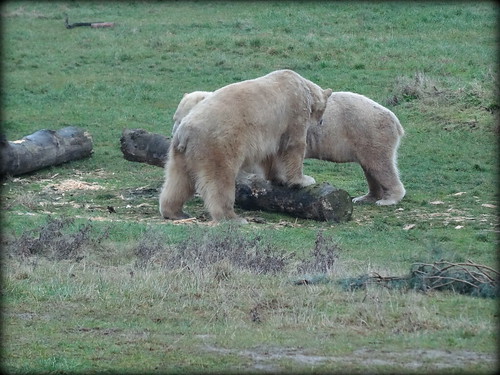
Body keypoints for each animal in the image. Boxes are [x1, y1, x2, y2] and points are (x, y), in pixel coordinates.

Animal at [160, 70, 332, 223]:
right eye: (324, 110)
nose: (322, 122)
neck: (302, 86)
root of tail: (184, 132)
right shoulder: (295, 110)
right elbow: (294, 145)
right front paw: (304, 180)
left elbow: (272, 154)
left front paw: (279, 178)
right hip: (217, 145)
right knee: (220, 180)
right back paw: (232, 218)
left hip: (181, 153)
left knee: (179, 180)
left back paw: (175, 212)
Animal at [172, 92, 406, 209]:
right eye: (176, 117)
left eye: (182, 118)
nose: (175, 135)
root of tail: (395, 120)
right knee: (370, 167)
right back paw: (366, 197)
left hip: (367, 130)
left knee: (380, 164)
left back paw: (388, 199)